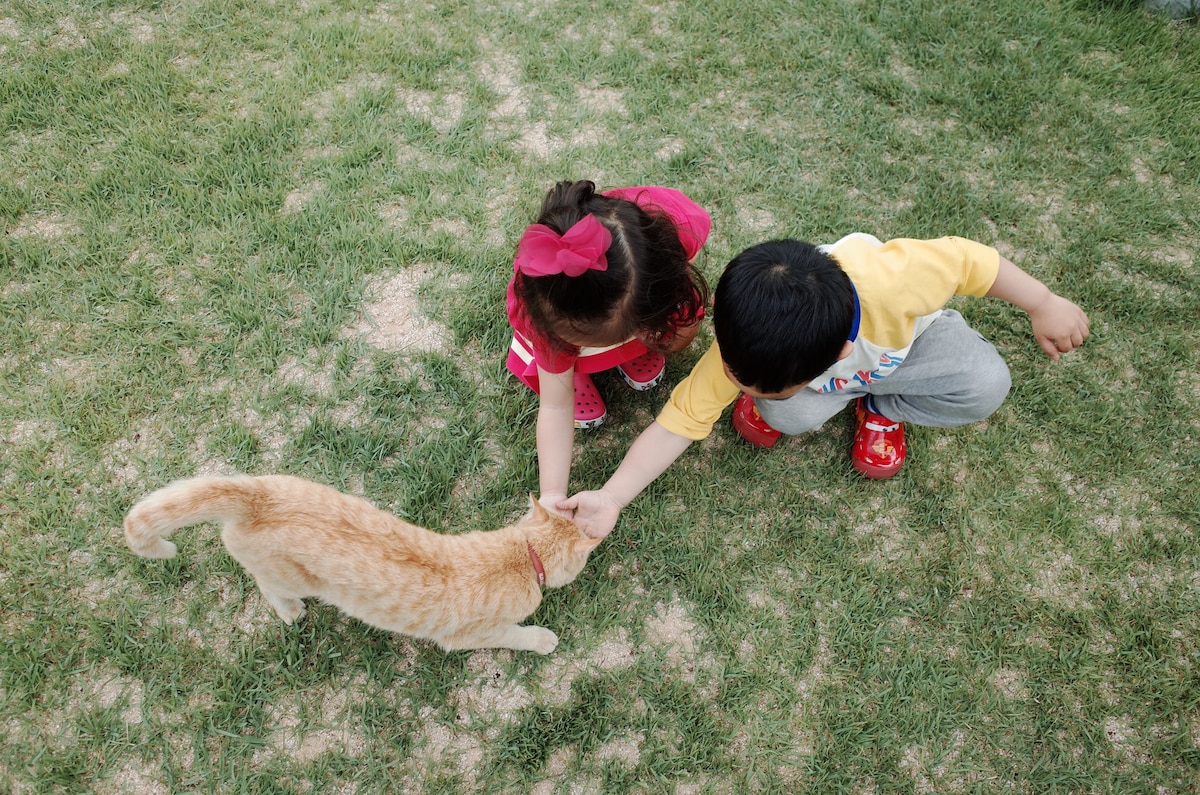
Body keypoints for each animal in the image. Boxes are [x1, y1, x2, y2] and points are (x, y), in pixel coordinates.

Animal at [121, 475, 600, 658]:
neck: (520, 554)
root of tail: (257, 496)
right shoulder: (468, 637)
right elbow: (516, 634)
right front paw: (542, 639)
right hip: (287, 577)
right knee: (267, 586)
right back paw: (290, 611)